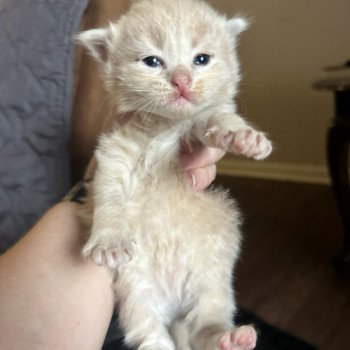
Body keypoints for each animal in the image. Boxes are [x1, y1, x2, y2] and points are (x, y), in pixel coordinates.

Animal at [78, 0, 272, 350]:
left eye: (202, 59)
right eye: (152, 61)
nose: (182, 81)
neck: (165, 128)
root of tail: (174, 306)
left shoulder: (201, 123)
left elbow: (218, 117)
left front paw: (242, 137)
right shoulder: (114, 154)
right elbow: (109, 196)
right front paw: (109, 240)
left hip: (211, 286)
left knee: (204, 327)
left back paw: (231, 338)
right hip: (136, 293)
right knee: (149, 333)